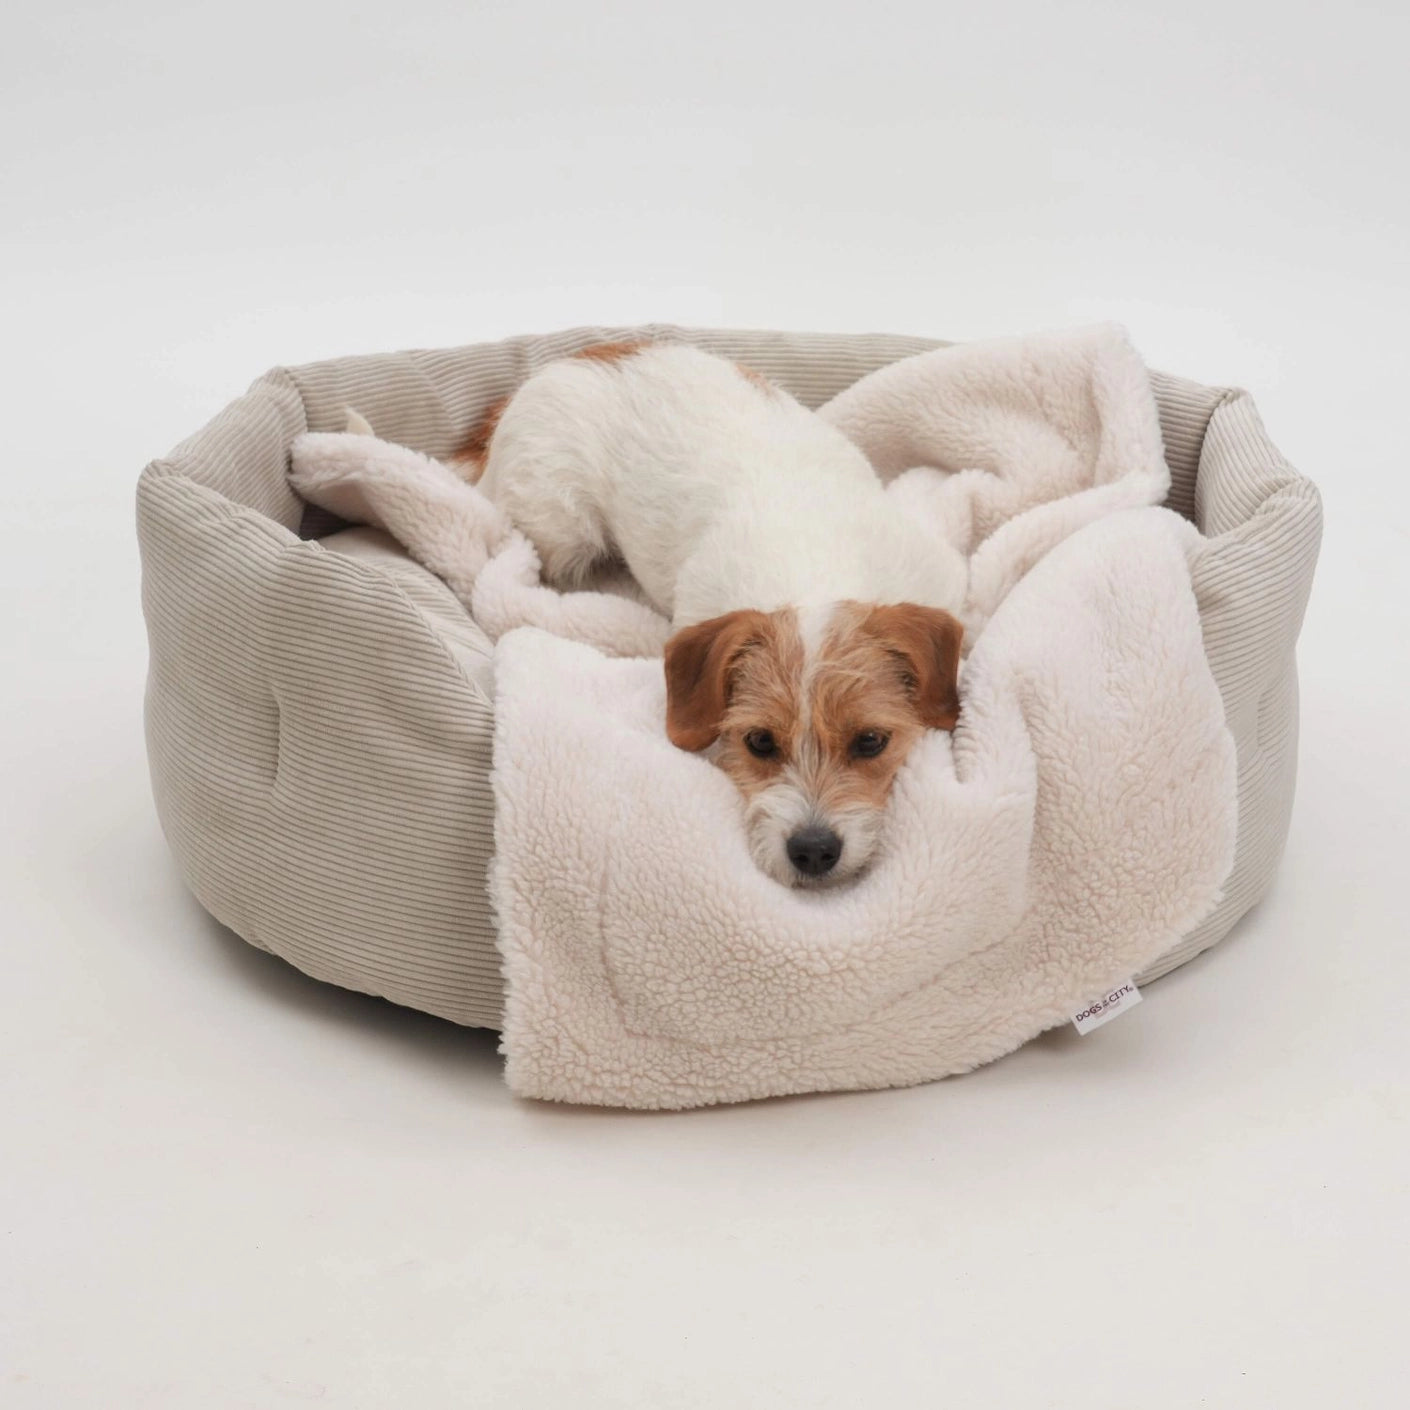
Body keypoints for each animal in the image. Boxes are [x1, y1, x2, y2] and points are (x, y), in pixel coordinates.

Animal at [456, 341, 964, 885]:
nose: (812, 851)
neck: (811, 571)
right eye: (759, 742)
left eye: (870, 741)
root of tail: (574, 358)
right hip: (559, 522)